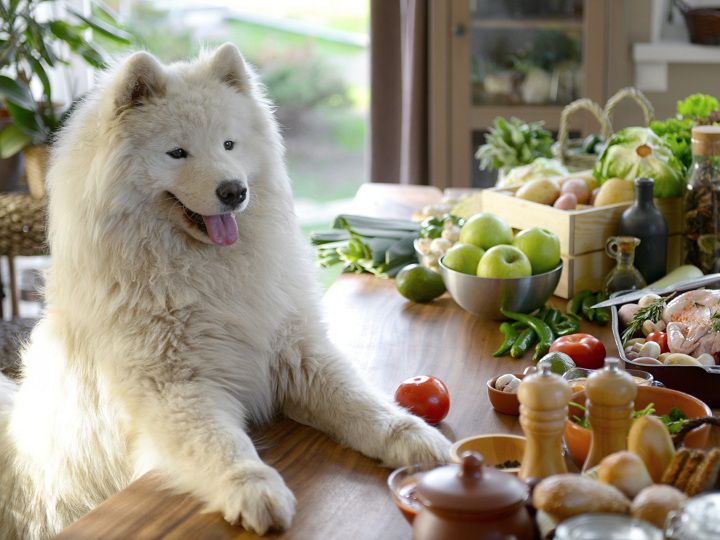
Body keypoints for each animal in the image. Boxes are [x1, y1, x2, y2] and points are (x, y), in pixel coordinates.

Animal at [0, 44, 450, 536]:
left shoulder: (297, 353)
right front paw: (255, 491)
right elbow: (223, 445)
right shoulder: (176, 387)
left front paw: (414, 436)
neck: (208, 269)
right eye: (177, 152)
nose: (234, 191)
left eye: (229, 145)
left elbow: (361, 402)